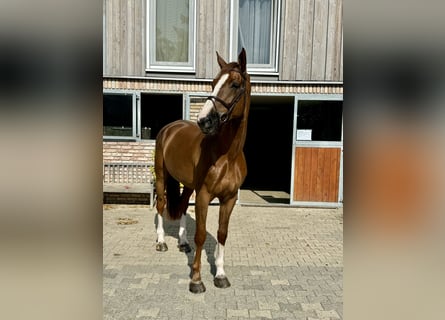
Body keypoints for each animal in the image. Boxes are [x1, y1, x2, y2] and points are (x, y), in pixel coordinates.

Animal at [153, 48, 250, 294]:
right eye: (213, 83)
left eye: (235, 84)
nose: (203, 120)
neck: (227, 155)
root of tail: (170, 128)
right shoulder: (204, 195)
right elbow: (200, 234)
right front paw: (196, 280)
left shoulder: (229, 198)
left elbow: (222, 234)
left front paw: (221, 275)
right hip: (161, 176)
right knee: (161, 205)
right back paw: (161, 242)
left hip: (188, 185)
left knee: (182, 205)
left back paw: (182, 242)